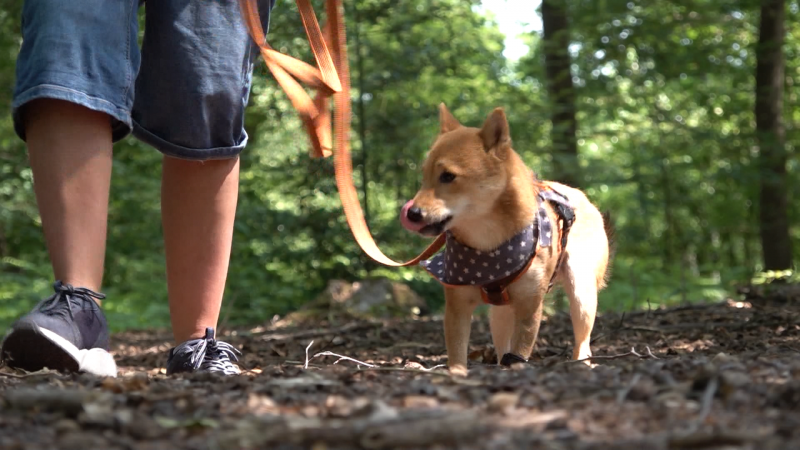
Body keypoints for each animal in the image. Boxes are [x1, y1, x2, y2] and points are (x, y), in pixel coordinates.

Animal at [400, 103, 612, 374]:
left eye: (448, 176)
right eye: (424, 176)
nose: (412, 213)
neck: (487, 243)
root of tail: (582, 196)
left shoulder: (529, 308)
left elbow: (519, 354)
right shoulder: (457, 308)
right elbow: (457, 356)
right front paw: (457, 375)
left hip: (581, 291)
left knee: (583, 342)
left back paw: (581, 364)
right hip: (500, 314)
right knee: (503, 346)